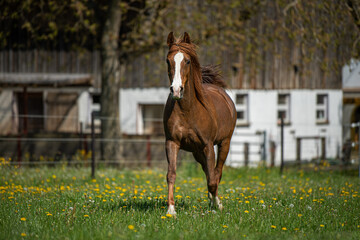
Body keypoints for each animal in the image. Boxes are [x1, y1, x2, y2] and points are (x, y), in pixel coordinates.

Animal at [163, 32, 236, 216]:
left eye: (188, 61)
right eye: (168, 60)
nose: (176, 90)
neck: (188, 110)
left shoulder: (208, 145)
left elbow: (213, 179)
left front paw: (217, 205)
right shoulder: (172, 143)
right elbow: (171, 175)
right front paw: (171, 210)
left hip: (224, 143)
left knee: (217, 172)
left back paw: (216, 202)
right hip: (196, 152)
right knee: (208, 171)